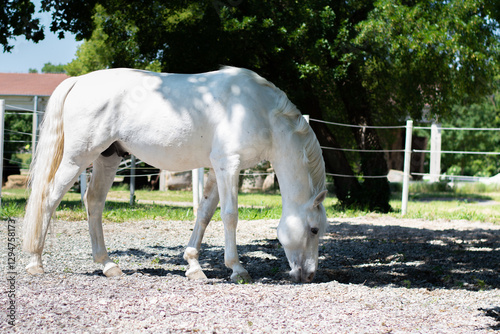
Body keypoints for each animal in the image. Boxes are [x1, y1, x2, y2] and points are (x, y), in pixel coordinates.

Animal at [23, 66, 328, 284]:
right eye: (313, 229)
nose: (309, 275)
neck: (260, 110)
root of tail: (78, 81)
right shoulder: (228, 165)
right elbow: (230, 216)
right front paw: (237, 269)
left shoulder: (217, 170)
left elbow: (204, 214)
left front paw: (193, 266)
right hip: (77, 159)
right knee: (48, 199)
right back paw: (35, 263)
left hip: (107, 159)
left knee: (94, 203)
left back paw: (108, 265)